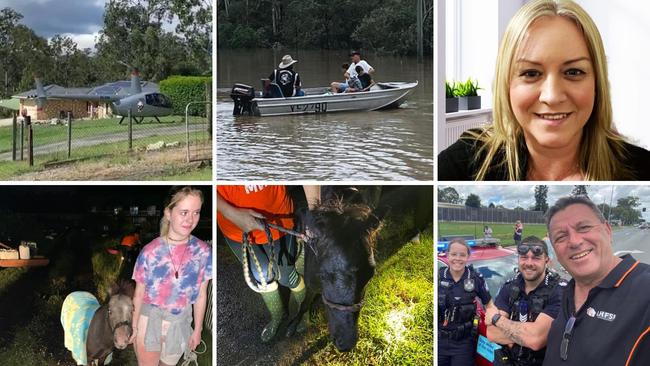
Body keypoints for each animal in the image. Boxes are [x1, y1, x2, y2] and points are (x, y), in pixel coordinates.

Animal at [288, 189, 380, 352]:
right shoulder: (311, 283)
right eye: (323, 275)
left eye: (370, 275)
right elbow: (304, 303)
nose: (346, 343)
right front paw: (293, 325)